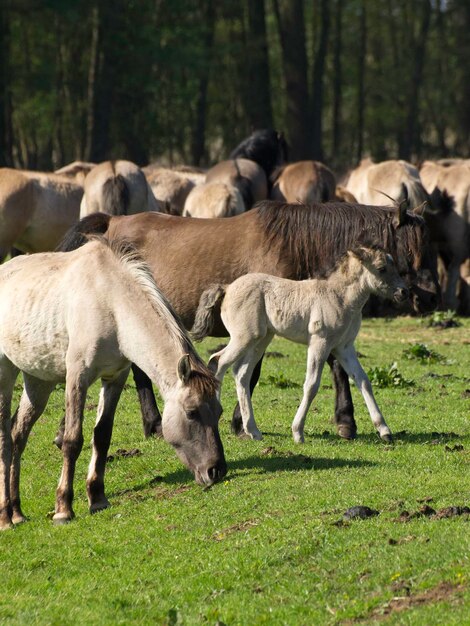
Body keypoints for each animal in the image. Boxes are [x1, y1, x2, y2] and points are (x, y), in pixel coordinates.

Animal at [0, 239, 226, 528]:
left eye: (218, 412)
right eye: (191, 412)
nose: (217, 470)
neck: (110, 303)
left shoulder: (115, 378)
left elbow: (102, 436)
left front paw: (97, 499)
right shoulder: (78, 376)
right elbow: (72, 440)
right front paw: (63, 508)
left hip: (38, 381)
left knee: (18, 434)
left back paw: (17, 513)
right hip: (6, 374)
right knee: (5, 439)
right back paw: (5, 517)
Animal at [191, 245, 408, 444]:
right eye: (381, 268)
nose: (403, 292)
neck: (340, 297)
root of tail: (227, 288)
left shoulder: (344, 347)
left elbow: (363, 381)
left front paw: (385, 431)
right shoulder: (320, 342)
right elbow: (311, 385)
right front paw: (297, 432)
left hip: (261, 339)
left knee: (241, 373)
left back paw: (253, 431)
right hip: (244, 337)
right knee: (218, 361)